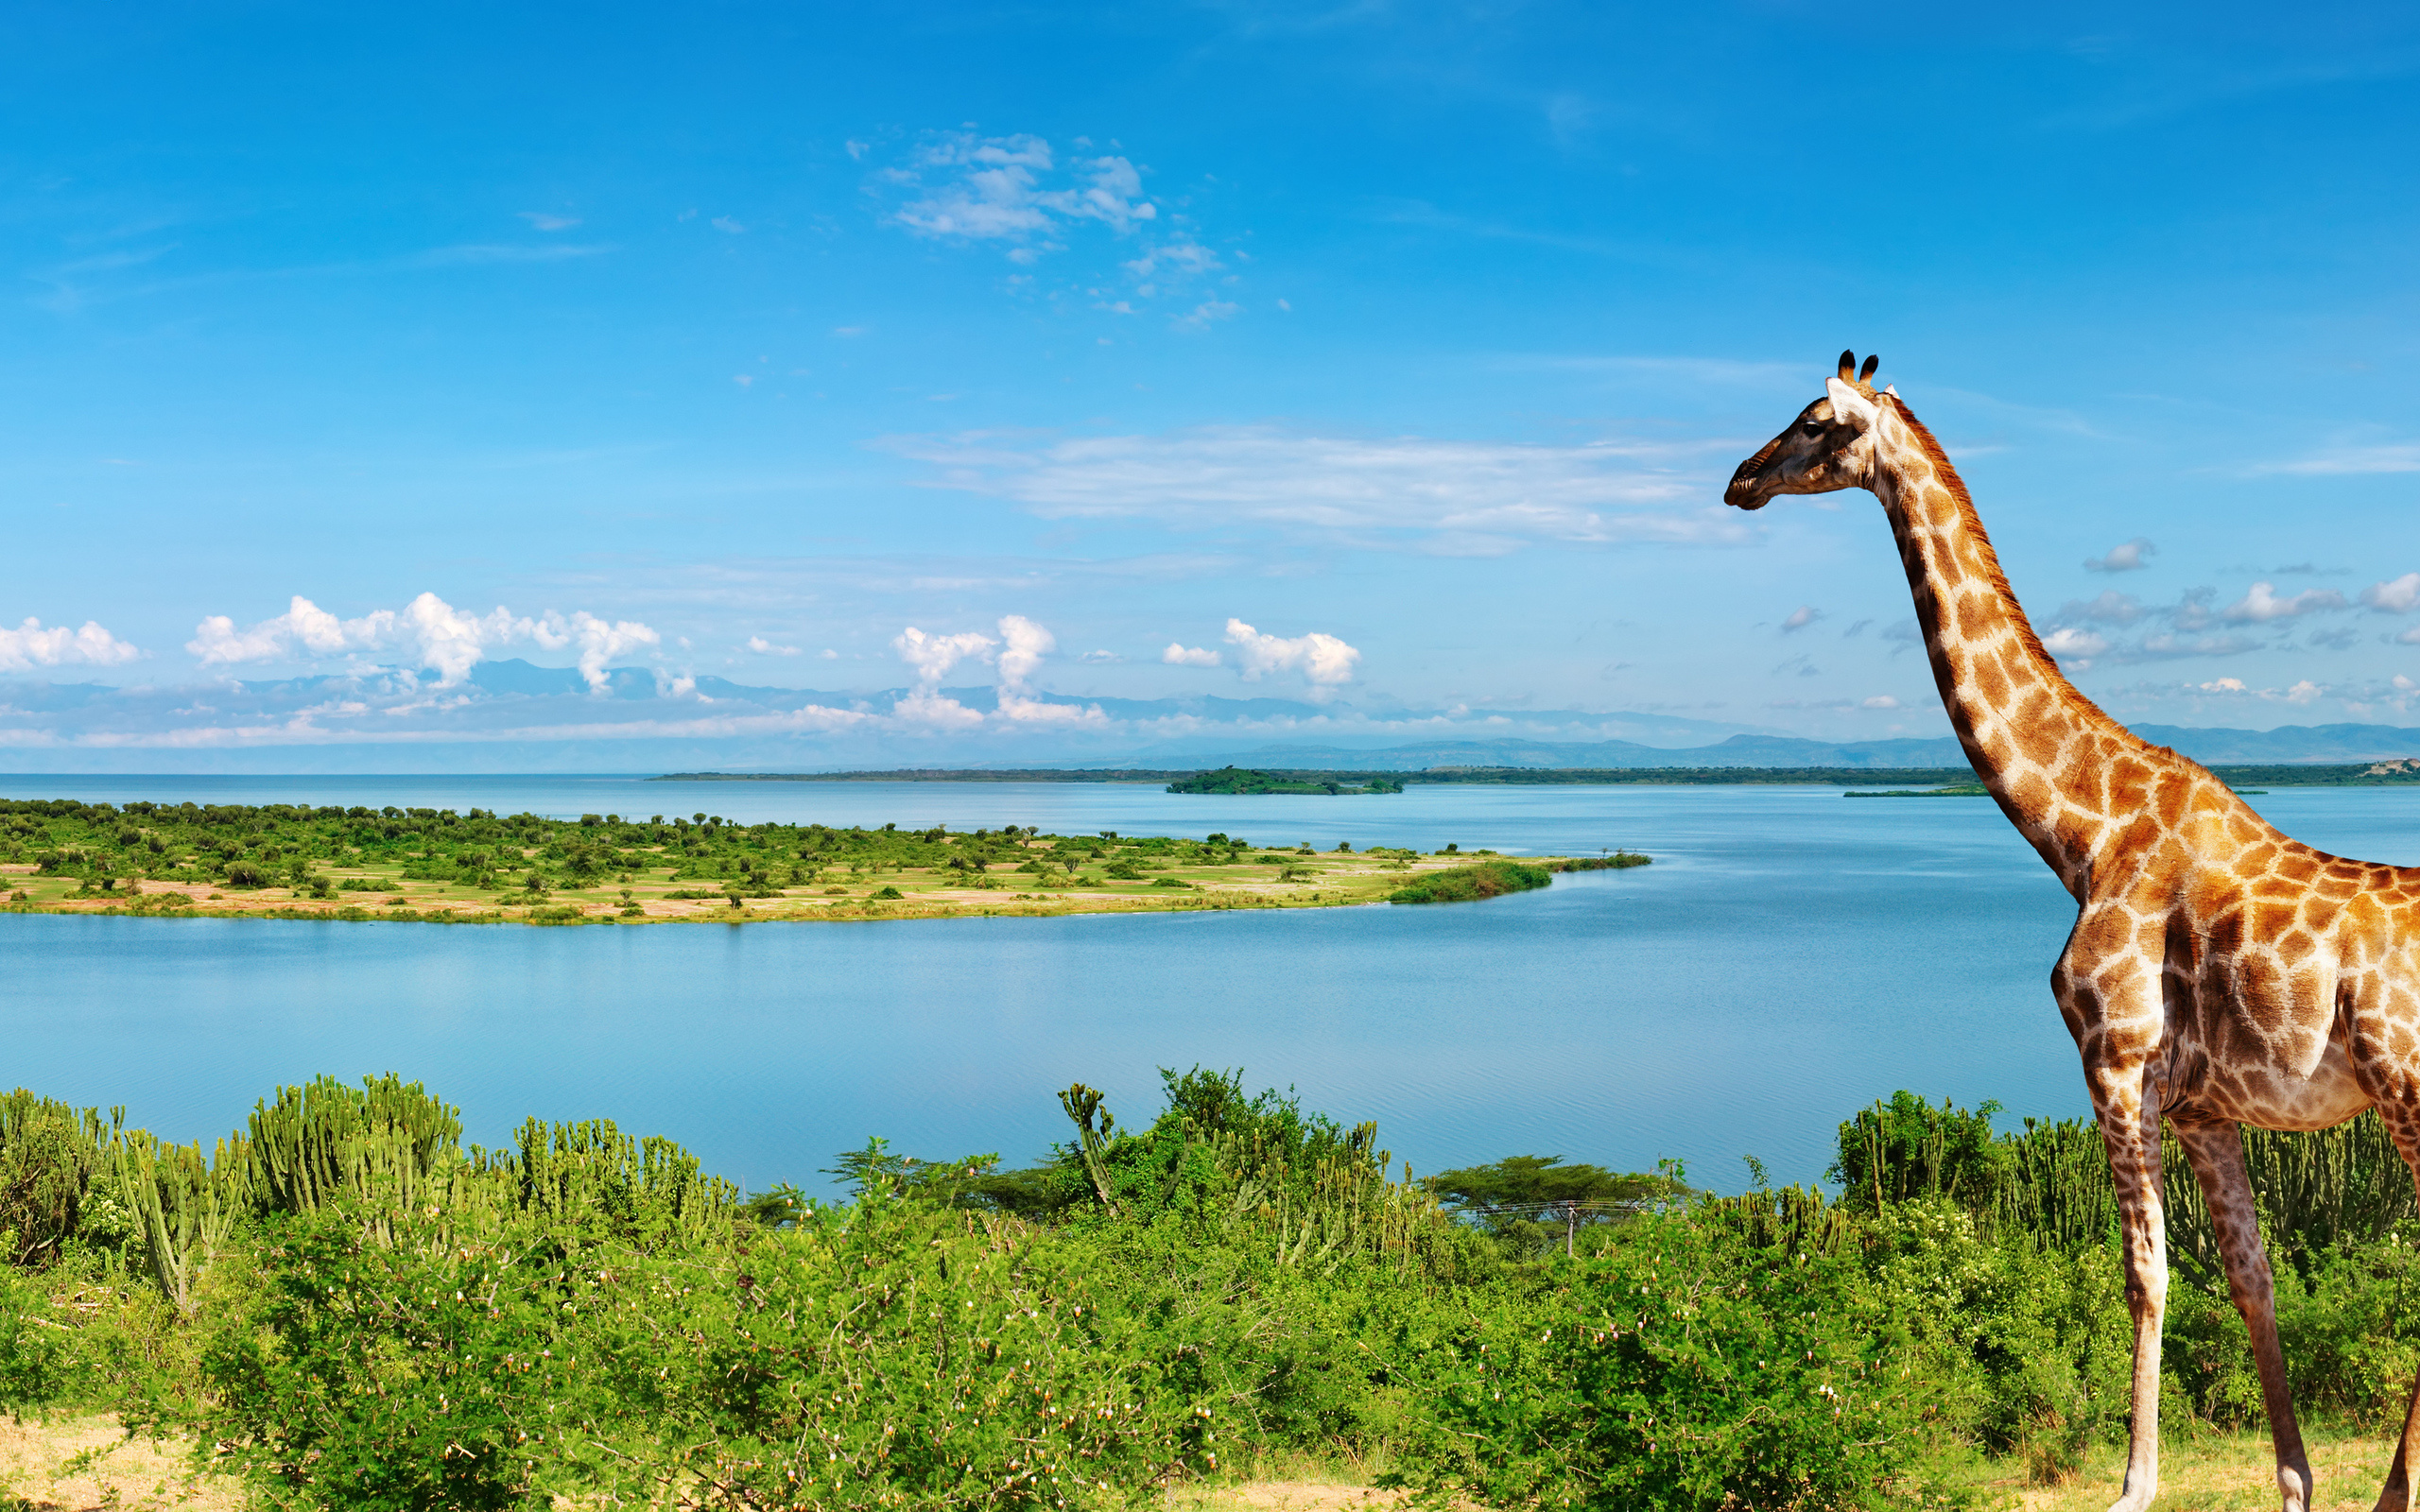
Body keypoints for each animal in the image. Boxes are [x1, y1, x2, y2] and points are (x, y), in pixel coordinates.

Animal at [1732, 352, 2420, 1509]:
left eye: (1817, 420)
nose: (1740, 480)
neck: (2084, 832)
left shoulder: (2116, 1056)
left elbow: (2145, 1273)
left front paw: (2133, 1485)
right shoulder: (2202, 1107)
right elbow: (2250, 1278)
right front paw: (2295, 1482)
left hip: (2405, 1090)